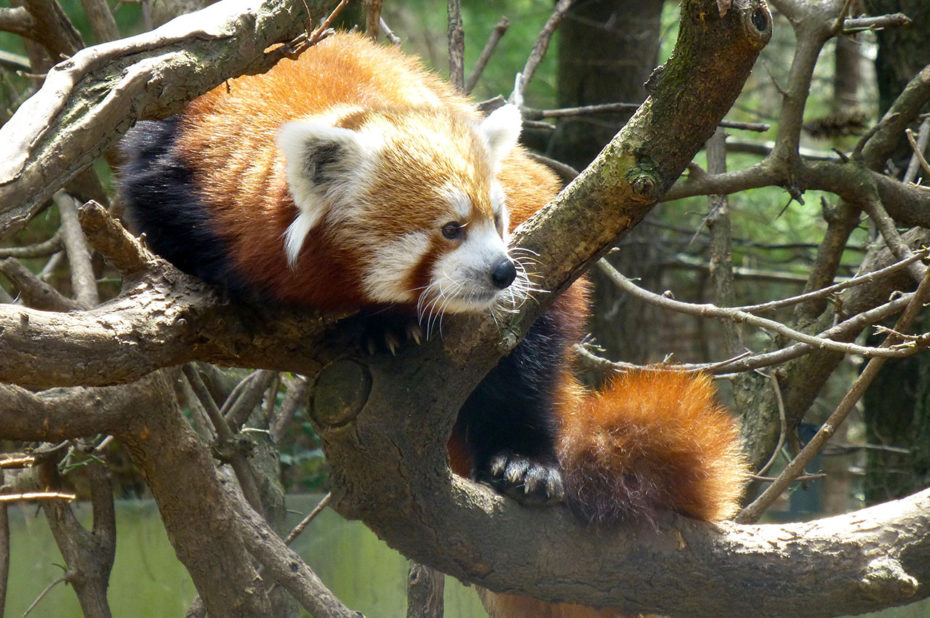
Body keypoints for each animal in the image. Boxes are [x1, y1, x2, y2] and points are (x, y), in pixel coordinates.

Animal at [121, 31, 748, 616]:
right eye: (450, 229)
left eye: (497, 219)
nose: (504, 271)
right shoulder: (174, 149)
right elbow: (159, 215)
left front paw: (385, 324)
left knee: (527, 366)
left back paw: (523, 460)